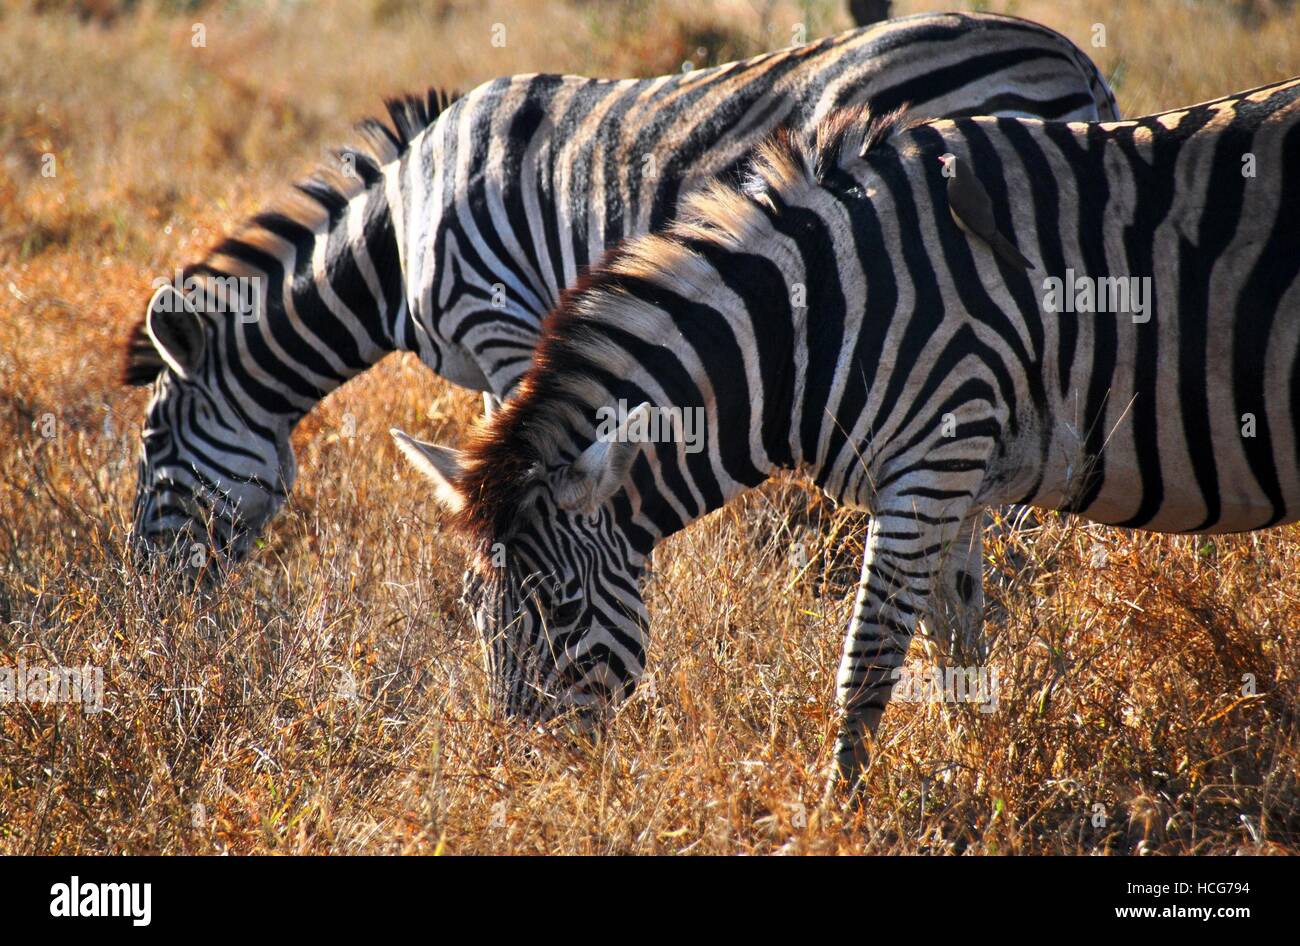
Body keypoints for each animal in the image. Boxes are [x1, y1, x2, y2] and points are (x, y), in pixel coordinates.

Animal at [124, 12, 1118, 561]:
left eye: (154, 449)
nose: (149, 606)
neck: (396, 242)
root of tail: (1074, 58)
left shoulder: (502, 324)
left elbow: (516, 451)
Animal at [392, 75, 1300, 790]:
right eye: (474, 609)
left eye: (563, 606)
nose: (525, 778)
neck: (812, 328)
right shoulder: (956, 483)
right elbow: (953, 642)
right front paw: (980, 771)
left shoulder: (932, 467)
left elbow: (866, 660)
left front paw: (842, 810)